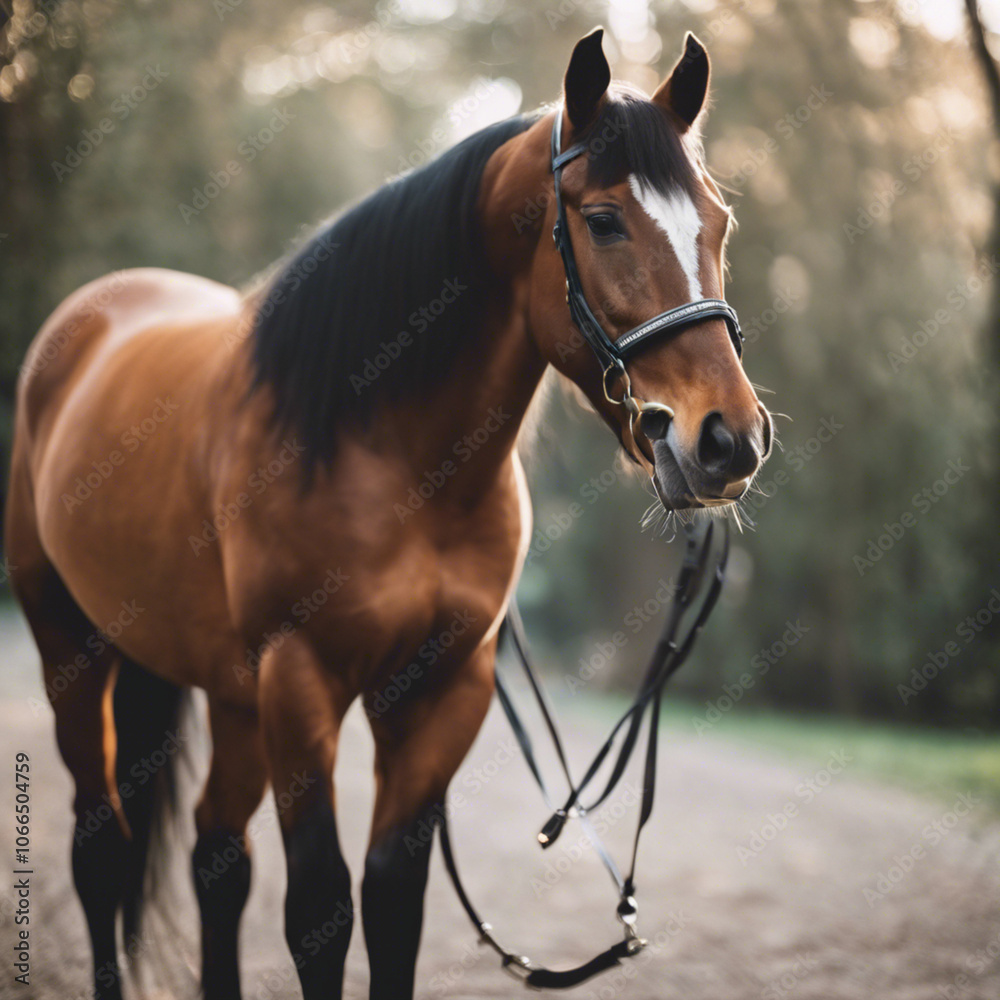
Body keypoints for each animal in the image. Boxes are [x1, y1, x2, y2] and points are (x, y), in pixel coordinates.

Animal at [5, 28, 772, 1000]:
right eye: (603, 220)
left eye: (718, 221)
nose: (728, 440)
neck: (398, 461)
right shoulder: (301, 681)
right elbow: (320, 911)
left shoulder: (445, 688)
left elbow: (392, 901)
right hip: (74, 645)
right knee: (102, 847)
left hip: (230, 690)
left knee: (218, 855)